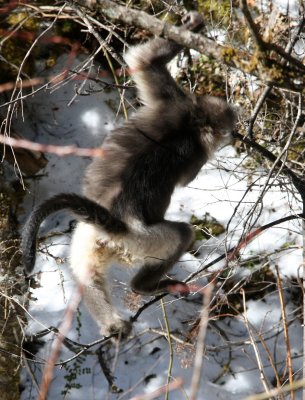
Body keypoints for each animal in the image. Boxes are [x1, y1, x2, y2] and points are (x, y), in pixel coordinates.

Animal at [21, 12, 236, 338]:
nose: (231, 133)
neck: (189, 121)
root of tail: (115, 224)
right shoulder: (193, 144)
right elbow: (187, 178)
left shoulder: (171, 102)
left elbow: (144, 59)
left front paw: (191, 26)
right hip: (143, 239)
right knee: (181, 234)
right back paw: (143, 286)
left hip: (87, 237)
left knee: (87, 275)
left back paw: (112, 323)